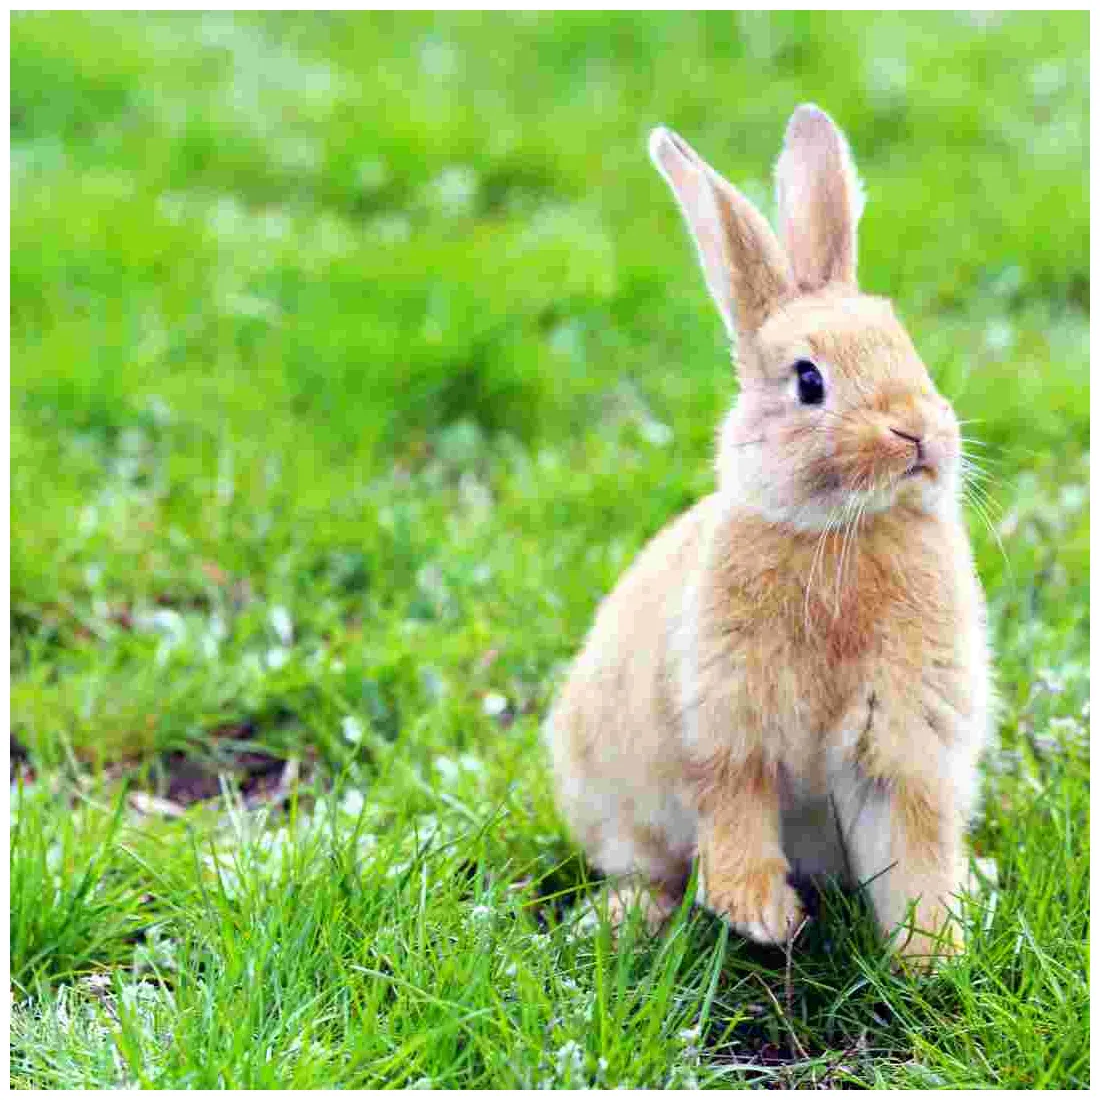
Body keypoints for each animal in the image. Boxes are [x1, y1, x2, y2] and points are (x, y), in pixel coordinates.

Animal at [545, 104, 992, 964]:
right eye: (808, 381)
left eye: (903, 344)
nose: (918, 433)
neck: (844, 530)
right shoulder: (726, 723)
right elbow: (734, 814)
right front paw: (762, 917)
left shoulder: (902, 739)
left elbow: (914, 846)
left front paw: (932, 954)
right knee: (649, 868)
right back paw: (623, 920)